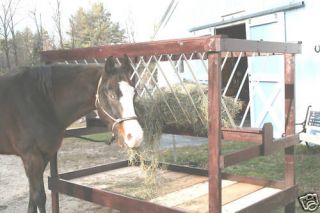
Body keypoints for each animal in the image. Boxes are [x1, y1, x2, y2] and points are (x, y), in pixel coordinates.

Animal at [0, 55, 144, 212]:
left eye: (134, 94)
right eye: (112, 95)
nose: (136, 137)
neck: (39, 101)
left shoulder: (43, 156)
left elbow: (32, 198)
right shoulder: (31, 157)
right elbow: (39, 197)